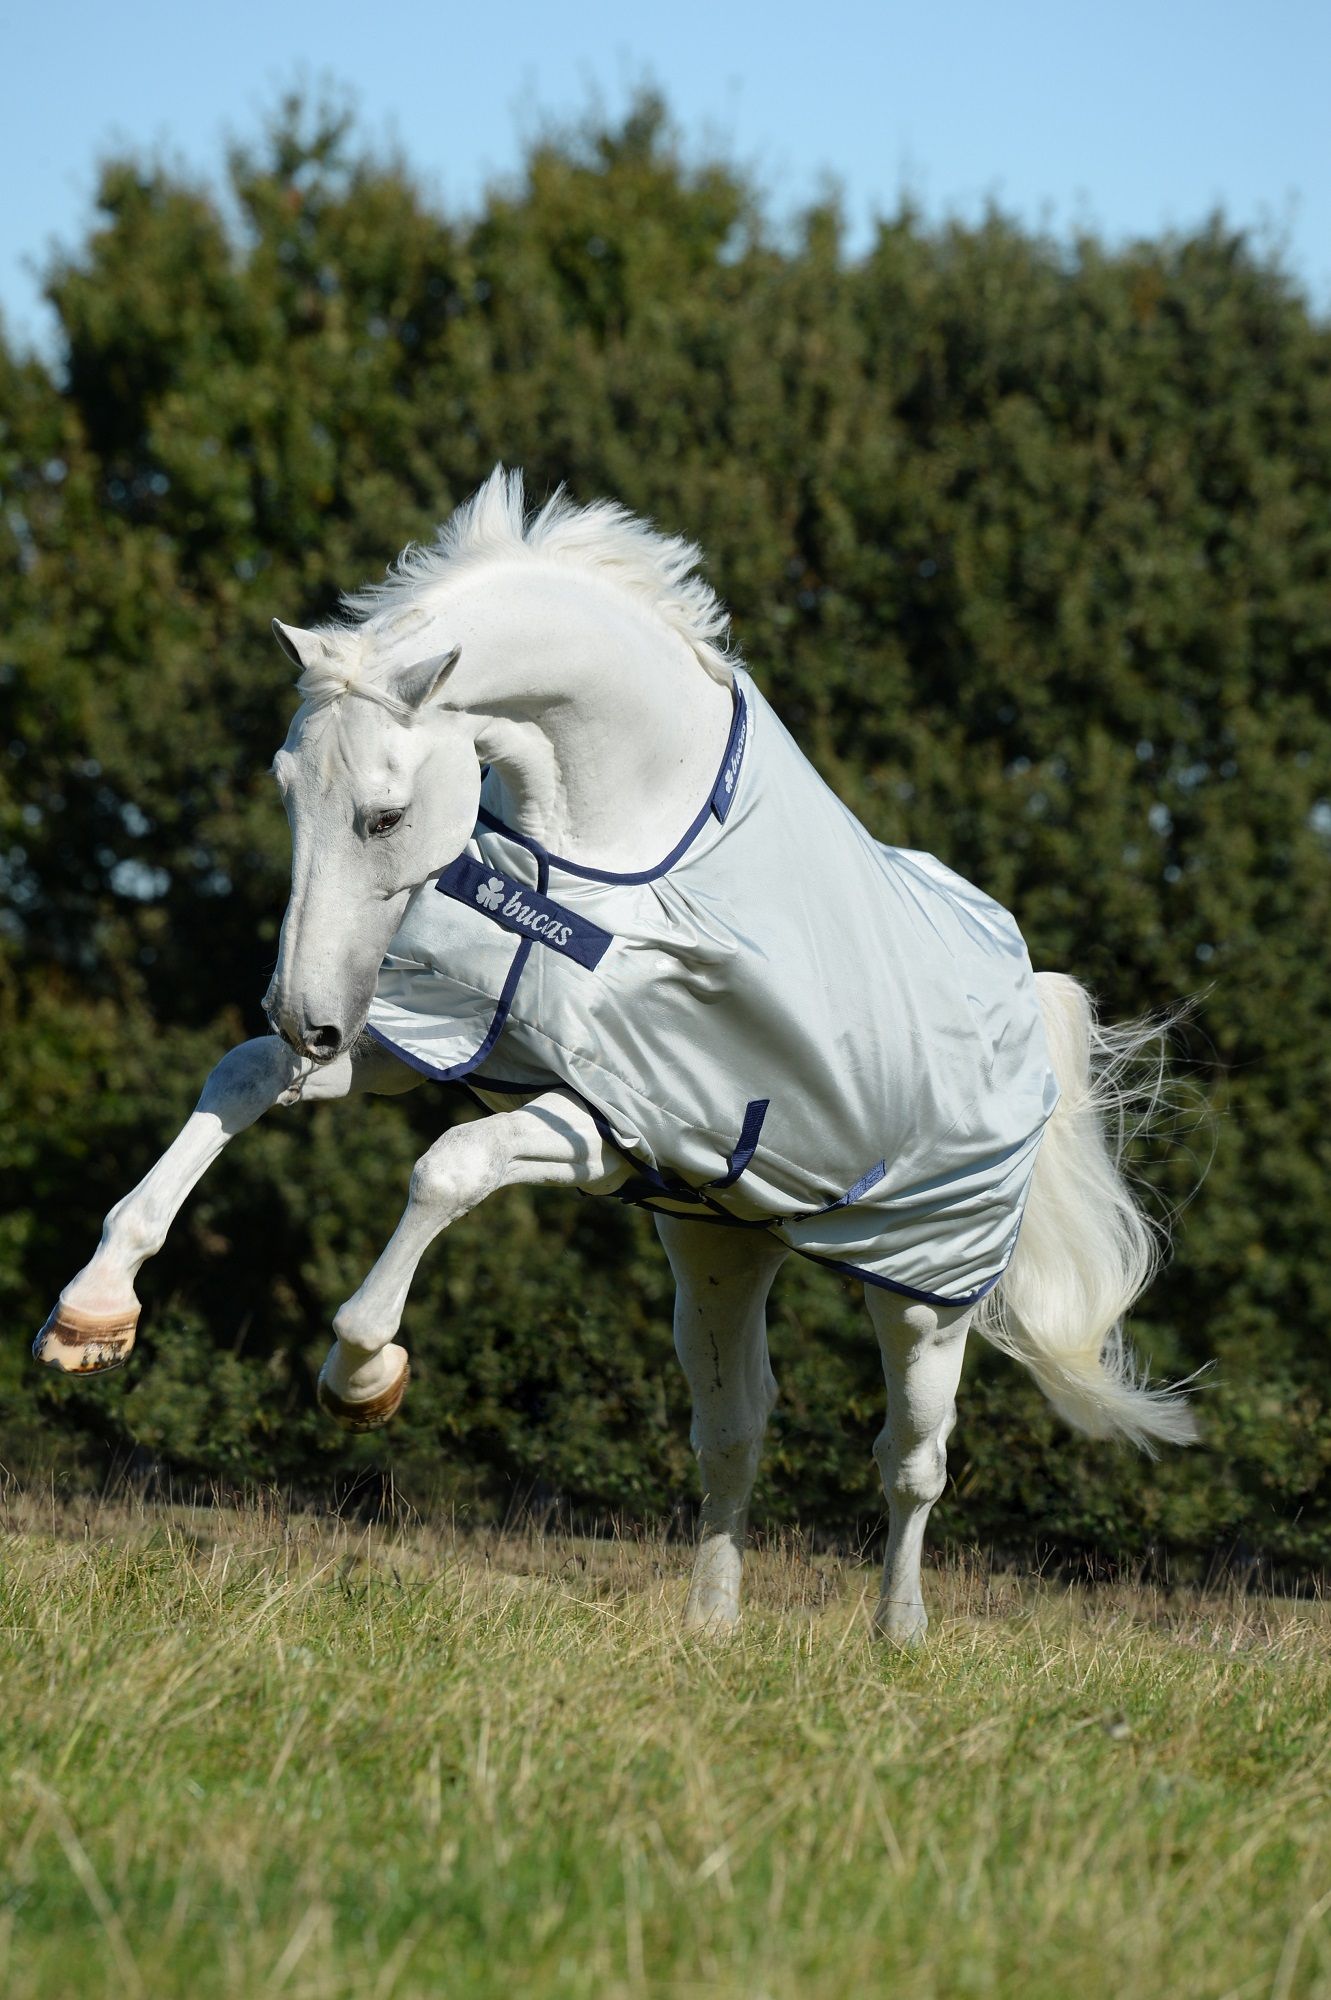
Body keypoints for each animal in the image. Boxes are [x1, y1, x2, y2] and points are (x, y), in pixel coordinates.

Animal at [35, 469, 1196, 1642]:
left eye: (386, 814)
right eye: (283, 790)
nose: (305, 1016)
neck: (615, 841)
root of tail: (1022, 988)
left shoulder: (612, 1120)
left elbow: (446, 1168)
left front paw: (363, 1372)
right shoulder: (450, 1030)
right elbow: (241, 1078)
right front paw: (93, 1312)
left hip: (923, 1290)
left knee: (911, 1461)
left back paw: (896, 1632)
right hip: (719, 1246)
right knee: (733, 1428)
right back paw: (712, 1623)